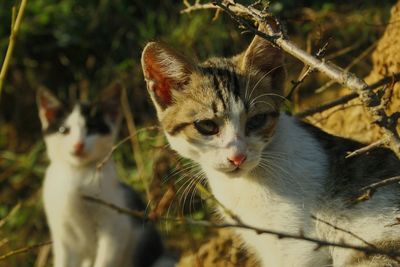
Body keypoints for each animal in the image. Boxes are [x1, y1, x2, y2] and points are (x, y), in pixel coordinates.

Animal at [37, 85, 167, 267]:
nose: (78, 145)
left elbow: (105, 260)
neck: (78, 174)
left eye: (92, 129)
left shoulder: (116, 227)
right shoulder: (62, 235)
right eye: (64, 130)